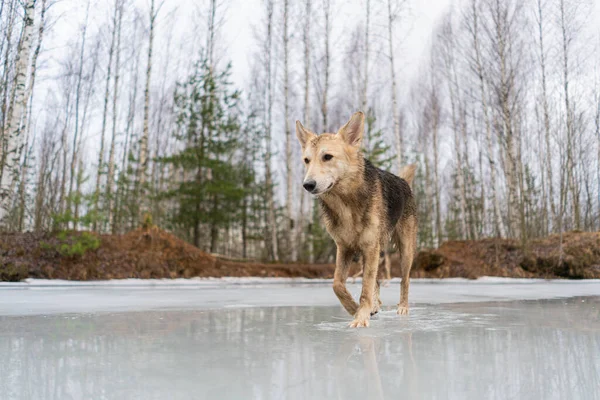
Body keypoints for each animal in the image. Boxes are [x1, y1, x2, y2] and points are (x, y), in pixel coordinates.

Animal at [292, 111, 414, 326]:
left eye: (327, 157)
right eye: (306, 160)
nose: (308, 184)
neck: (345, 203)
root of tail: (403, 181)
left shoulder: (370, 247)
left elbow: (365, 287)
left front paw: (360, 317)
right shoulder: (344, 248)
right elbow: (337, 284)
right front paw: (353, 308)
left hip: (405, 251)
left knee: (404, 280)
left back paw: (402, 307)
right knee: (376, 282)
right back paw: (375, 305)